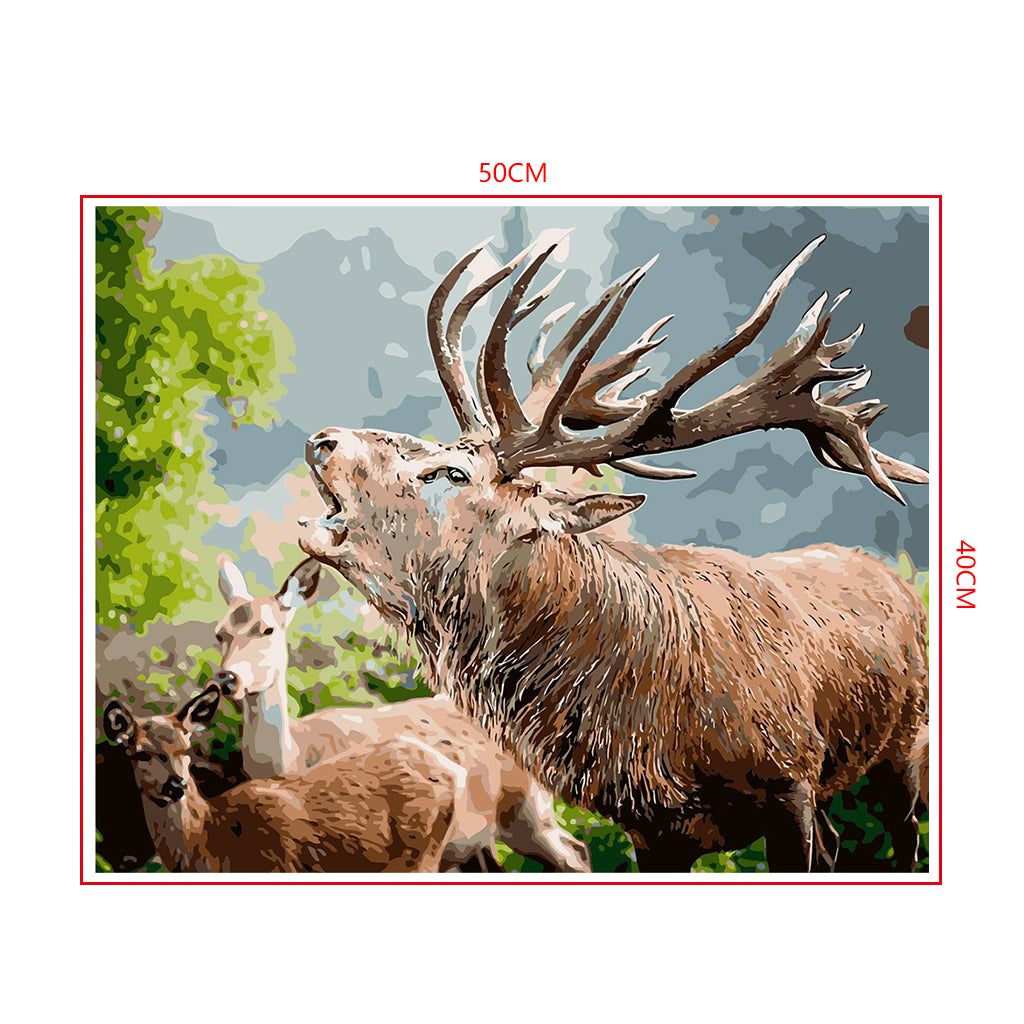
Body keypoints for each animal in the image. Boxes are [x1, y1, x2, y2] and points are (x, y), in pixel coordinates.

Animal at [102, 684, 463, 872]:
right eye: (139, 753)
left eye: (186, 748)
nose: (175, 786)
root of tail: (452, 771)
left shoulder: (278, 864)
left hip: (421, 854)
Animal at [212, 554, 591, 872]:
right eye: (220, 633)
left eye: (267, 628)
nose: (227, 679)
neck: (296, 756)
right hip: (479, 840)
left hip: (528, 809)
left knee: (577, 852)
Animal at [297, 233, 930, 873]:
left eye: (451, 472)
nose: (324, 440)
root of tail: (897, 580)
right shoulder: (650, 831)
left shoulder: (790, 780)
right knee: (836, 844)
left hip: (905, 741)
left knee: (904, 835)